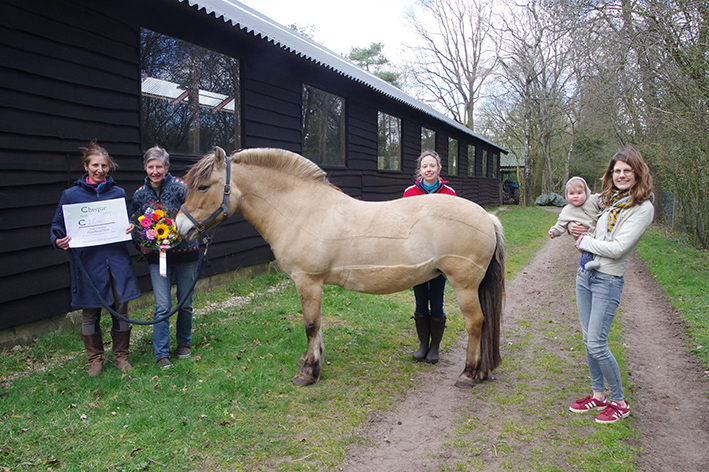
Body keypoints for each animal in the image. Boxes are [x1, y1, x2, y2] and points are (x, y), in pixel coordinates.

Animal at [180, 148, 506, 388]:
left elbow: (311, 325)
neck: (301, 210)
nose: (181, 227)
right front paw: (311, 362)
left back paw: (468, 374)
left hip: (464, 286)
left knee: (476, 323)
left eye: (203, 186)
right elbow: (318, 325)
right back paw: (479, 372)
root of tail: (487, 217)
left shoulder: (307, 281)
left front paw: (308, 374)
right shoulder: (313, 284)